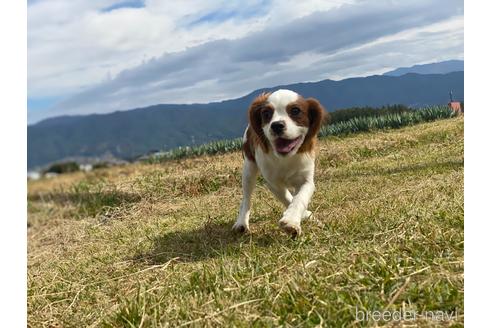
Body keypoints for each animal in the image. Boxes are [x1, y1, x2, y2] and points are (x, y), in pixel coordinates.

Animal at [234, 88, 328, 237]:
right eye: (266, 114)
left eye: (295, 110)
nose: (277, 125)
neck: (285, 158)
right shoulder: (273, 183)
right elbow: (287, 198)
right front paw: (294, 220)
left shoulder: (306, 180)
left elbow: (299, 198)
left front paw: (293, 220)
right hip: (249, 169)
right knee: (246, 198)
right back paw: (242, 222)